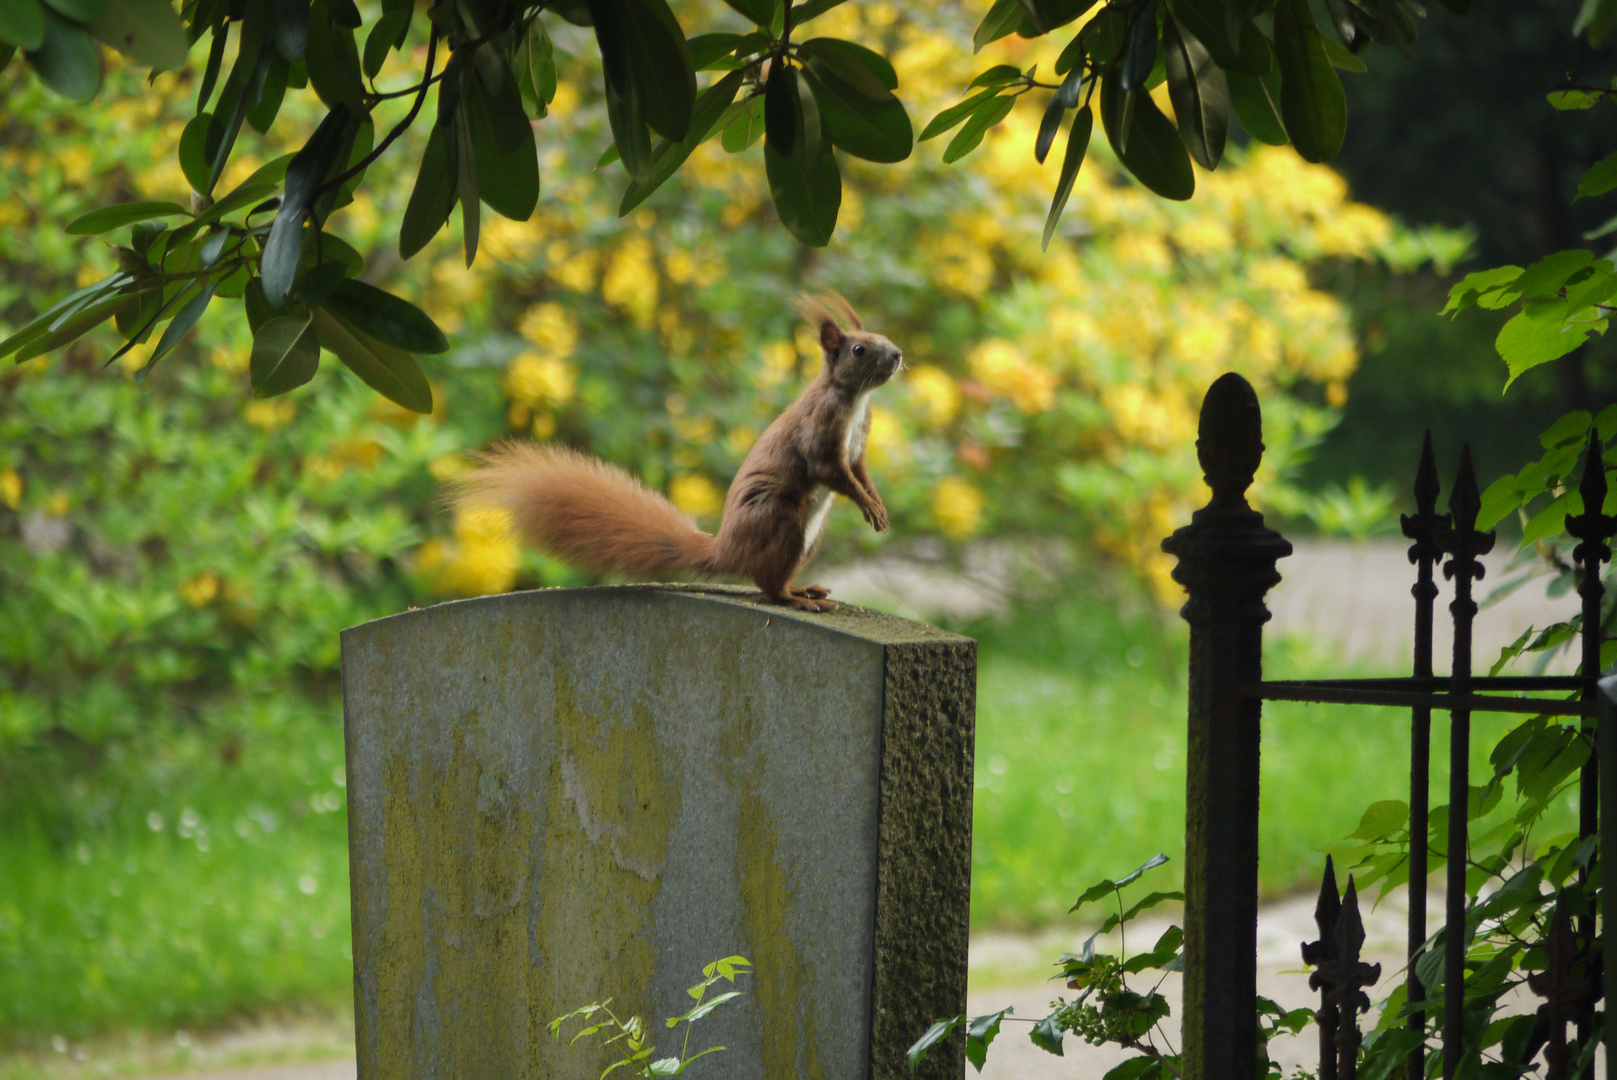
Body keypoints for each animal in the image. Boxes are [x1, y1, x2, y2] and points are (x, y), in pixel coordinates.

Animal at [455, 292, 905, 614]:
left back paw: (803, 588)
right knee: (769, 587)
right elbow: (831, 471)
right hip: (782, 520)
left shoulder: (857, 445)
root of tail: (726, 549)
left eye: (882, 339)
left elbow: (859, 471)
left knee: (772, 579)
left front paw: (877, 504)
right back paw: (797, 599)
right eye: (859, 350)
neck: (855, 400)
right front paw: (869, 506)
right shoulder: (820, 432)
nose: (898, 354)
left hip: (806, 538)